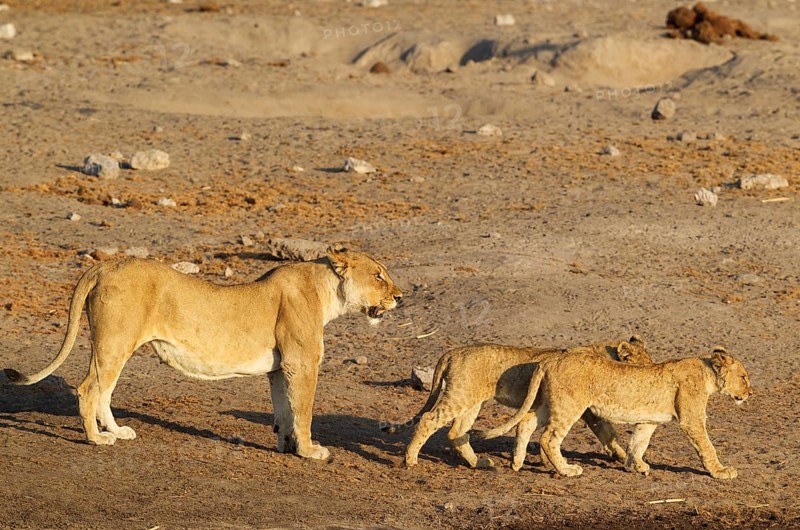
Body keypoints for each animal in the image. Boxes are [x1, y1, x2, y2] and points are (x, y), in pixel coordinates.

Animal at [4, 248, 402, 459]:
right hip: (114, 342)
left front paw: (285, 446)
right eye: (378, 275)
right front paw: (309, 451)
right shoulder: (302, 363)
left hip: (114, 345)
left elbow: (284, 410)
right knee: (89, 390)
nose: (400, 297)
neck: (326, 292)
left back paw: (117, 431)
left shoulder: (280, 368)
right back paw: (96, 438)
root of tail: (105, 264)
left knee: (103, 392)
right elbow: (303, 411)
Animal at [388, 337, 652, 470]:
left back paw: (479, 463)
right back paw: (410, 459)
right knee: (428, 419)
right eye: (646, 365)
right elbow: (609, 434)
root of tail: (453, 352)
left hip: (471, 402)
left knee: (456, 432)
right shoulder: (588, 410)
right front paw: (628, 459)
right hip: (459, 396)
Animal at [483, 347, 751, 479]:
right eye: (743, 377)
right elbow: (707, 447)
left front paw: (636, 466)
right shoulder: (691, 419)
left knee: (526, 422)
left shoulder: (648, 420)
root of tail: (550, 360)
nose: (750, 393)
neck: (707, 374)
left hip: (551, 404)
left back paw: (517, 463)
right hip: (569, 406)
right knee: (549, 439)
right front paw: (721, 472)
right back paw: (567, 470)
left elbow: (638, 442)